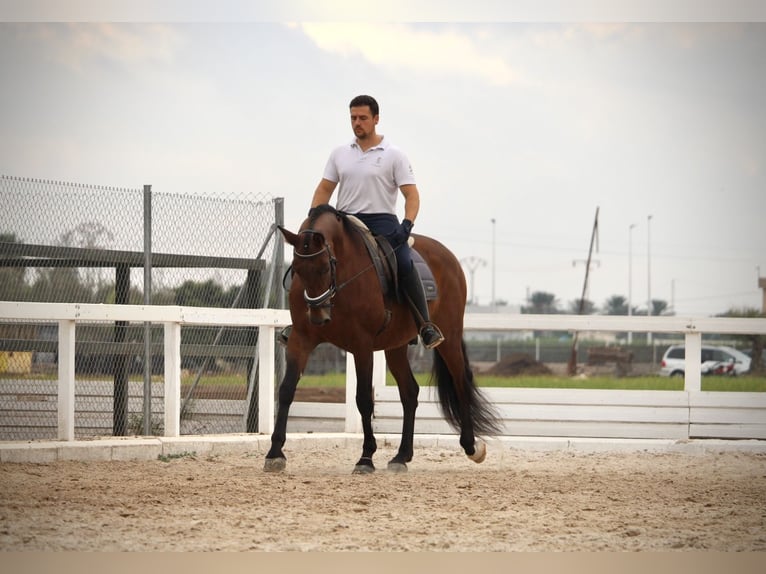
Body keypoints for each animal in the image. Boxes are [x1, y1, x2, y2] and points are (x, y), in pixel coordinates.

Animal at [264, 204, 501, 473]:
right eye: (297, 270)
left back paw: (471, 446)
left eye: (324, 268)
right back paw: (402, 456)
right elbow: (286, 390)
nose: (318, 315)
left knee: (460, 381)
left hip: (449, 336)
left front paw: (366, 457)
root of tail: (448, 256)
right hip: (395, 346)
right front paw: (274, 453)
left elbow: (364, 399)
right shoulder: (301, 340)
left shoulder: (362, 345)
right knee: (410, 392)